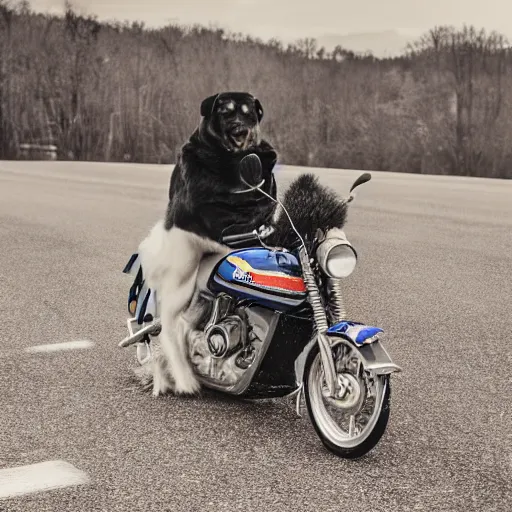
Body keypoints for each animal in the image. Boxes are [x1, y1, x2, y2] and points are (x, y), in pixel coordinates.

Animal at [136, 91, 278, 396]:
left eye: (249, 113)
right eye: (225, 111)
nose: (240, 130)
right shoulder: (203, 204)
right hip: (182, 286)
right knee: (170, 332)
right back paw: (184, 380)